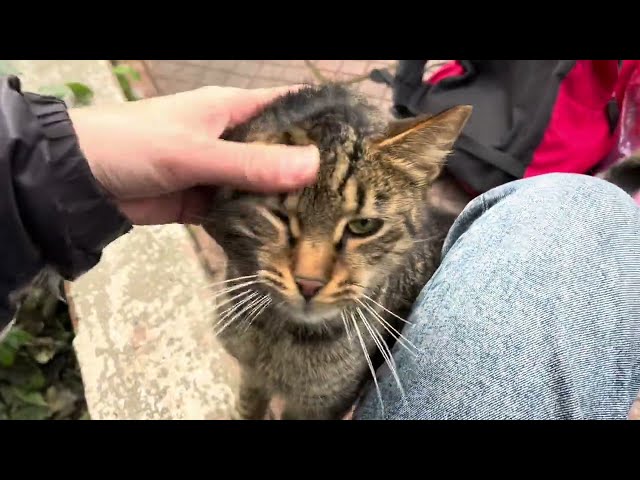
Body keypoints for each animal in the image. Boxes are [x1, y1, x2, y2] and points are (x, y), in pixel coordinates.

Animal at [202, 85, 472, 420]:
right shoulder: (252, 377)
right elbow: (246, 409)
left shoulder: (321, 405)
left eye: (363, 225)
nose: (309, 284)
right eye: (278, 215)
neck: (275, 333)